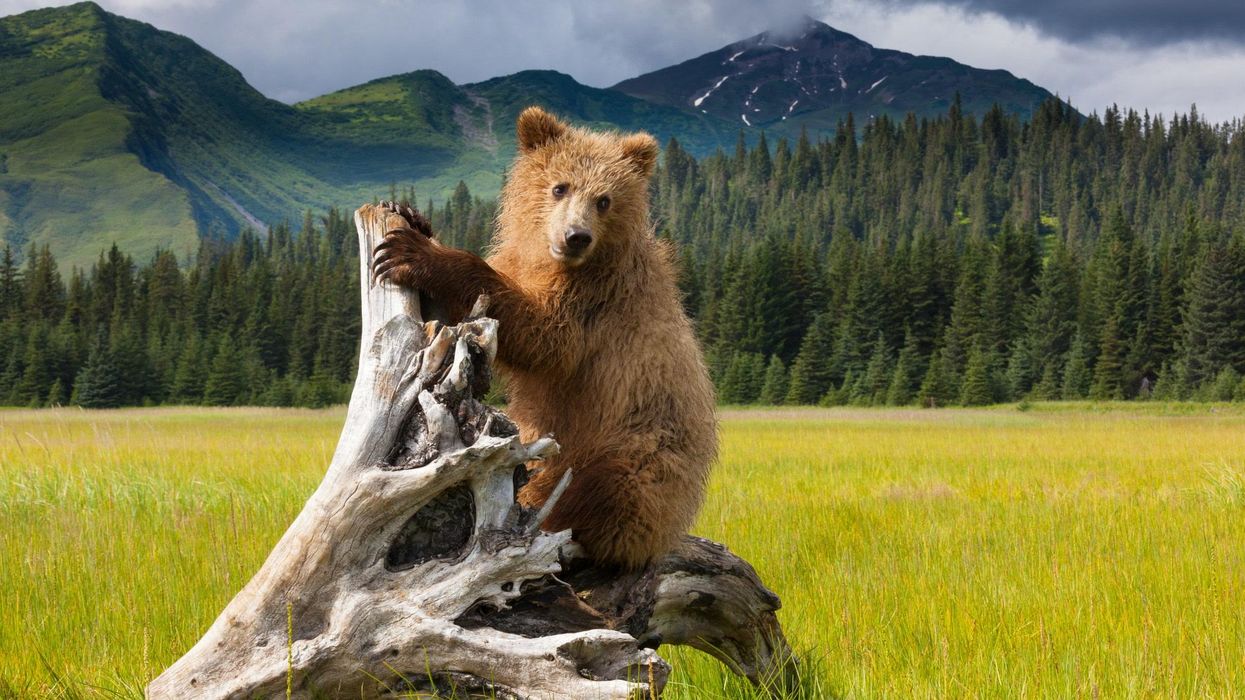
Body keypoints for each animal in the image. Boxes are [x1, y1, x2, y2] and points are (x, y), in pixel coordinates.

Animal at [372, 106, 717, 570]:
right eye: (559, 186)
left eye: (604, 199)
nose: (576, 236)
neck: (551, 260)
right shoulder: (524, 262)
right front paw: (409, 217)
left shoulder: (594, 299)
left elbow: (546, 338)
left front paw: (415, 252)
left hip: (639, 449)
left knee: (604, 490)